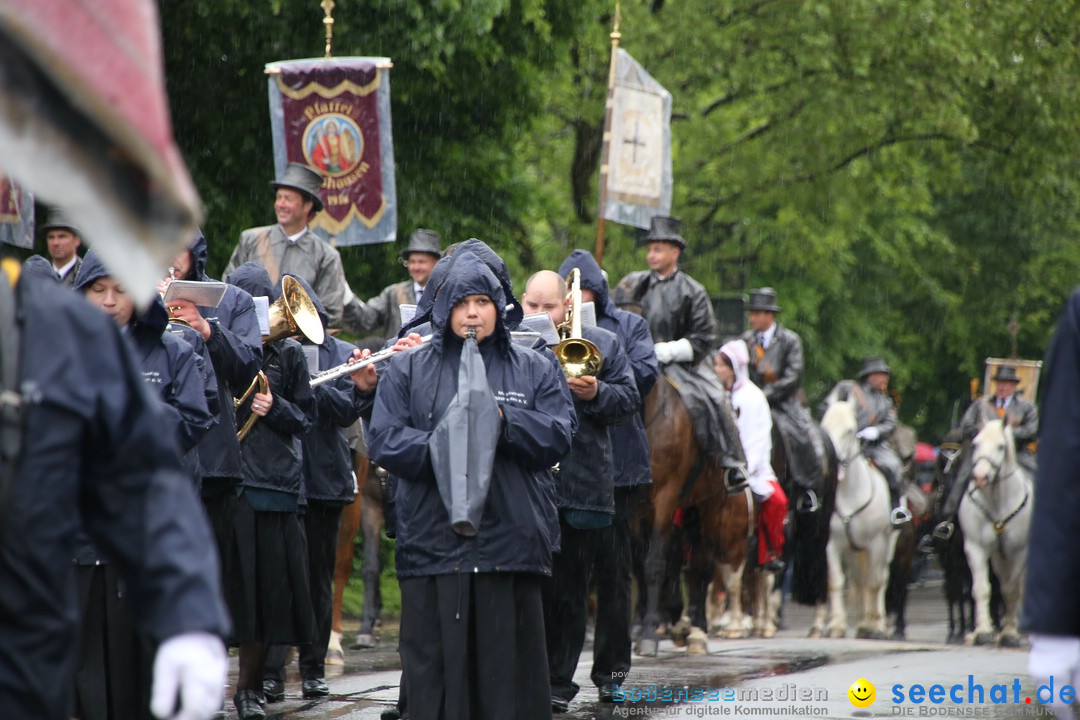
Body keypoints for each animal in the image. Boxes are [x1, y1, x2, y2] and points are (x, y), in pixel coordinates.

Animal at [630, 375, 751, 656]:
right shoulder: (634, 509)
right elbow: (640, 565)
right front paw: (640, 628)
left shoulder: (665, 498)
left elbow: (654, 565)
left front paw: (649, 634)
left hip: (713, 513)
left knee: (702, 567)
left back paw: (697, 631)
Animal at [812, 390, 898, 639]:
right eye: (825, 427)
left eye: (850, 430)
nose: (835, 461)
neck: (849, 495)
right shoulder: (831, 545)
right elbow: (836, 582)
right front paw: (837, 626)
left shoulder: (876, 544)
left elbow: (874, 583)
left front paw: (876, 626)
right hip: (853, 551)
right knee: (859, 580)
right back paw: (861, 622)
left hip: (888, 545)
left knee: (879, 579)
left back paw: (874, 623)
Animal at [959, 416, 1032, 647]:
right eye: (975, 444)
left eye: (1001, 447)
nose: (981, 477)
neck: (996, 501)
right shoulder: (976, 548)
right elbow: (981, 589)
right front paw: (982, 631)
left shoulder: (1019, 551)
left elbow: (1011, 591)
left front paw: (1009, 633)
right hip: (1000, 558)